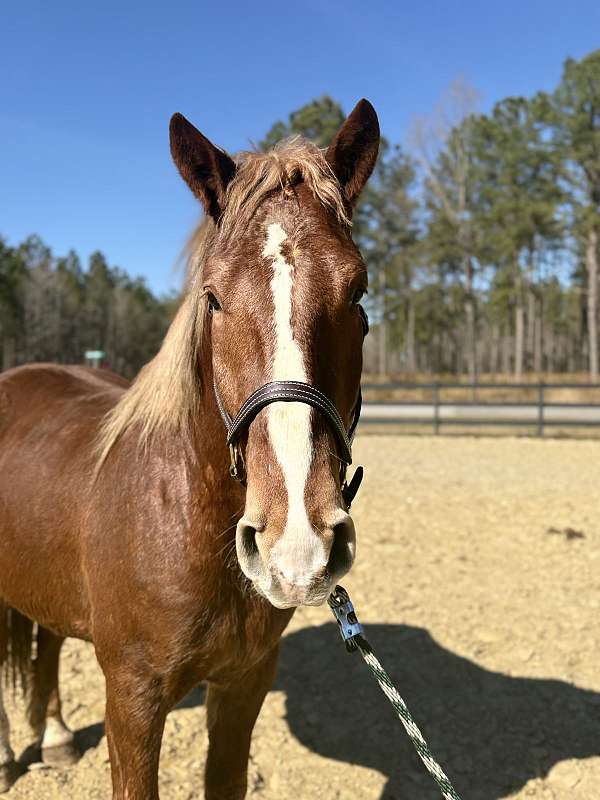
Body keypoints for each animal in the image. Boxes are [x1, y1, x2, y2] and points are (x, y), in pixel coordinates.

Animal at [0, 100, 378, 800]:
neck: (183, 514)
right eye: (213, 296)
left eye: (358, 292)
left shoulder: (243, 685)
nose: (298, 544)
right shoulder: (132, 698)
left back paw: (56, 736)